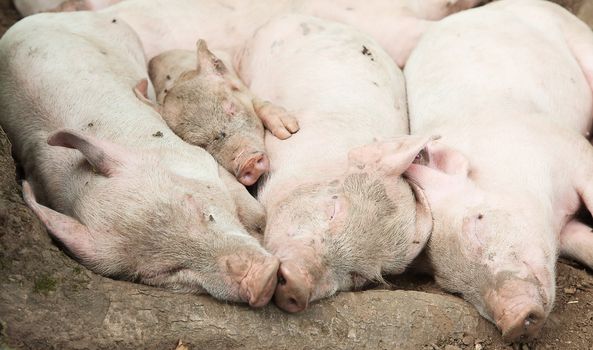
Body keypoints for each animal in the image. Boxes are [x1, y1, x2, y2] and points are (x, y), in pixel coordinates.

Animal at [404, 0, 592, 342]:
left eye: (478, 222)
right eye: (454, 287)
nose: (513, 320)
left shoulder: (572, 150)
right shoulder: (563, 229)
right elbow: (585, 243)